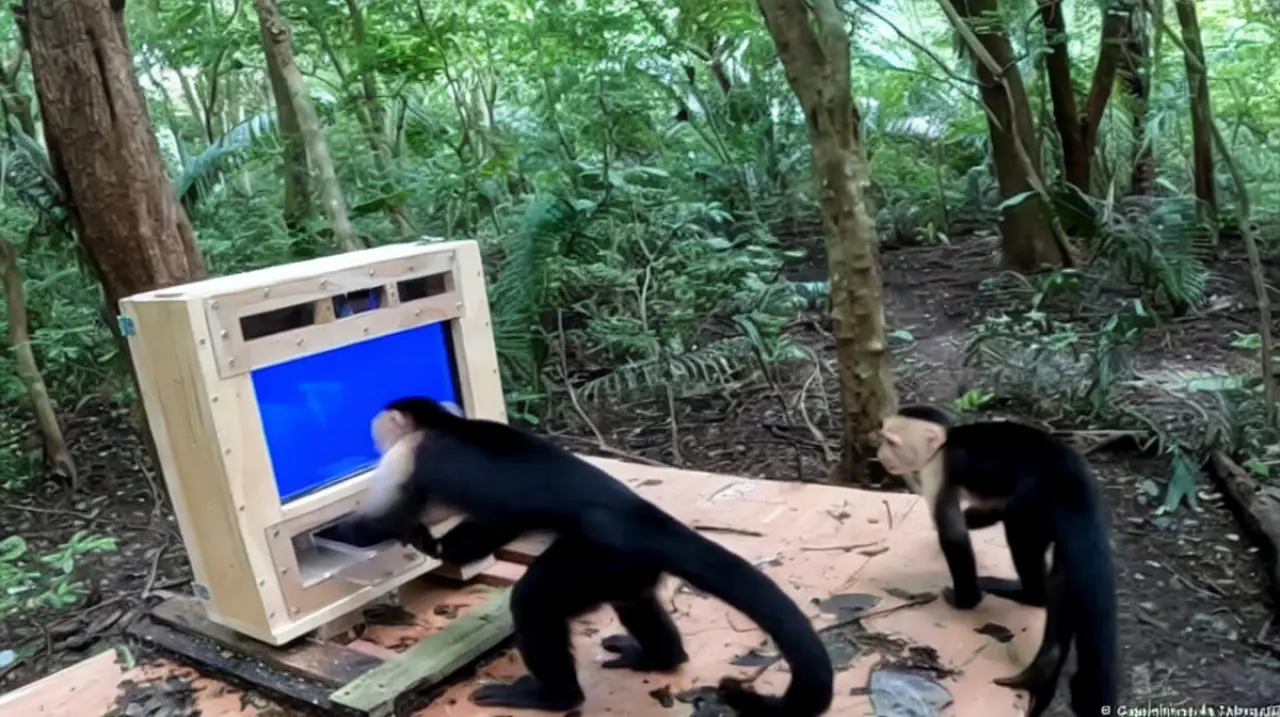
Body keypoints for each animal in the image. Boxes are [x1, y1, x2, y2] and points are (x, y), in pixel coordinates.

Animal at [328, 396, 835, 716]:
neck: (445, 426)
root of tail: (645, 518)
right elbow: (499, 521)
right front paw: (440, 547)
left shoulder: (405, 458)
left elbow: (383, 521)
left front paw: (371, 536)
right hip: (624, 566)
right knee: (634, 602)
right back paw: (659, 657)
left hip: (593, 557)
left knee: (533, 602)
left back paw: (554, 698)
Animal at [876, 404, 1117, 717]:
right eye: (883, 440)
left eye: (891, 442)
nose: (880, 454)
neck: (947, 440)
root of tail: (1076, 484)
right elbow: (990, 509)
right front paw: (975, 517)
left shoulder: (938, 466)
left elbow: (953, 535)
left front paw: (964, 599)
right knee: (1063, 576)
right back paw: (1047, 664)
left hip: (1037, 502)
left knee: (1018, 529)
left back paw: (1027, 594)